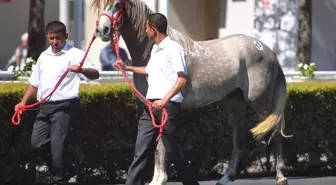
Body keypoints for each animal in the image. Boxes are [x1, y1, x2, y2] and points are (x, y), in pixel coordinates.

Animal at [92, 0, 292, 184]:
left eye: (117, 4)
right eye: (100, 5)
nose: (103, 30)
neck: (150, 52)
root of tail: (269, 51)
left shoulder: (161, 106)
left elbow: (161, 146)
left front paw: (159, 179)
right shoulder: (151, 107)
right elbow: (155, 145)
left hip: (260, 101)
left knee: (275, 129)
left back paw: (280, 177)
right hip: (234, 102)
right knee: (239, 136)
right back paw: (226, 177)